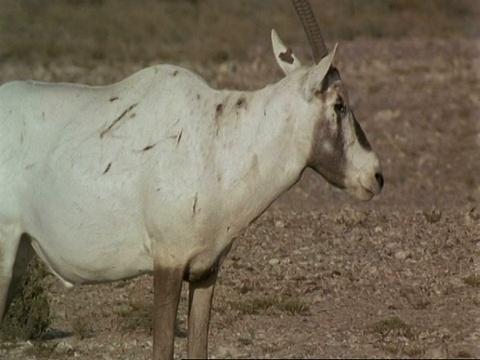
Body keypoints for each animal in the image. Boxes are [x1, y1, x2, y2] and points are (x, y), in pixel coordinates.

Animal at [0, 0, 382, 358]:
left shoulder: (205, 270)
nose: (376, 175)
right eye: (340, 104)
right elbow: (162, 349)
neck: (219, 141)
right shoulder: (168, 264)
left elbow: (199, 347)